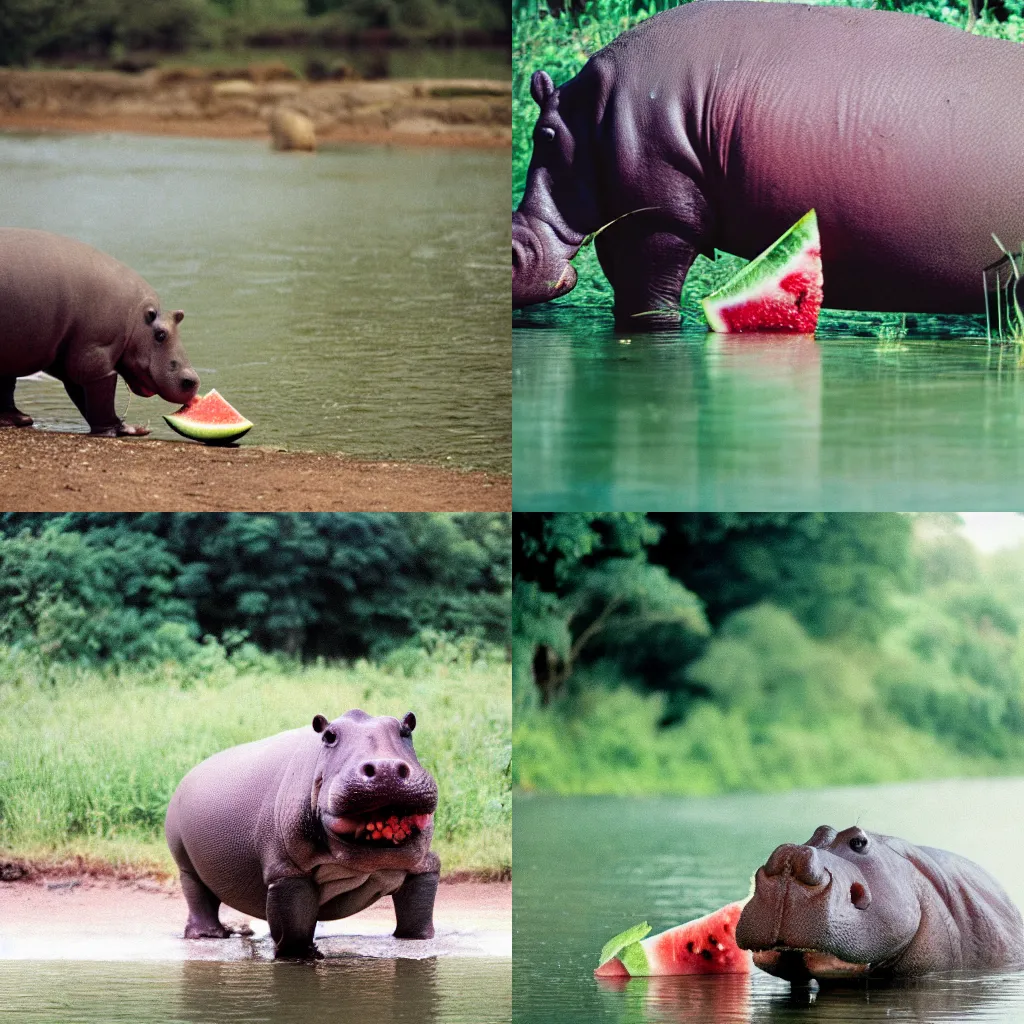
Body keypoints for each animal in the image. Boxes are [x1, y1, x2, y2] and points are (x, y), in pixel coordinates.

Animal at [0, 228, 198, 436]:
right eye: (161, 334)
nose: (193, 380)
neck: (135, 319)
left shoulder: (69, 359)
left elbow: (83, 398)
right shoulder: (95, 355)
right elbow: (101, 396)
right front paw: (121, 430)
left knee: (7, 386)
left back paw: (20, 419)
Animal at [163, 712, 440, 958]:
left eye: (407, 729)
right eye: (329, 736)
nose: (386, 767)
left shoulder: (424, 865)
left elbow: (417, 910)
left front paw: (418, 939)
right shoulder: (288, 872)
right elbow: (293, 923)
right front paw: (304, 955)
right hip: (184, 862)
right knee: (197, 894)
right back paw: (209, 935)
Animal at [516, 0, 1024, 325]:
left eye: (543, 134)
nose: (515, 250)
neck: (588, 109)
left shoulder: (658, 219)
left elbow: (648, 300)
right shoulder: (633, 218)